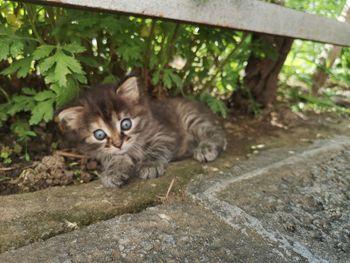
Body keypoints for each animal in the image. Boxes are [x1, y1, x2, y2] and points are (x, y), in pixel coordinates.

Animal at [57, 76, 227, 188]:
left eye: (126, 124)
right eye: (99, 135)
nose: (118, 144)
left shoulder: (165, 133)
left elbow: (157, 148)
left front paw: (149, 164)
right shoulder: (105, 152)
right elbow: (114, 158)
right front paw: (113, 172)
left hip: (190, 117)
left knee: (216, 132)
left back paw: (205, 148)